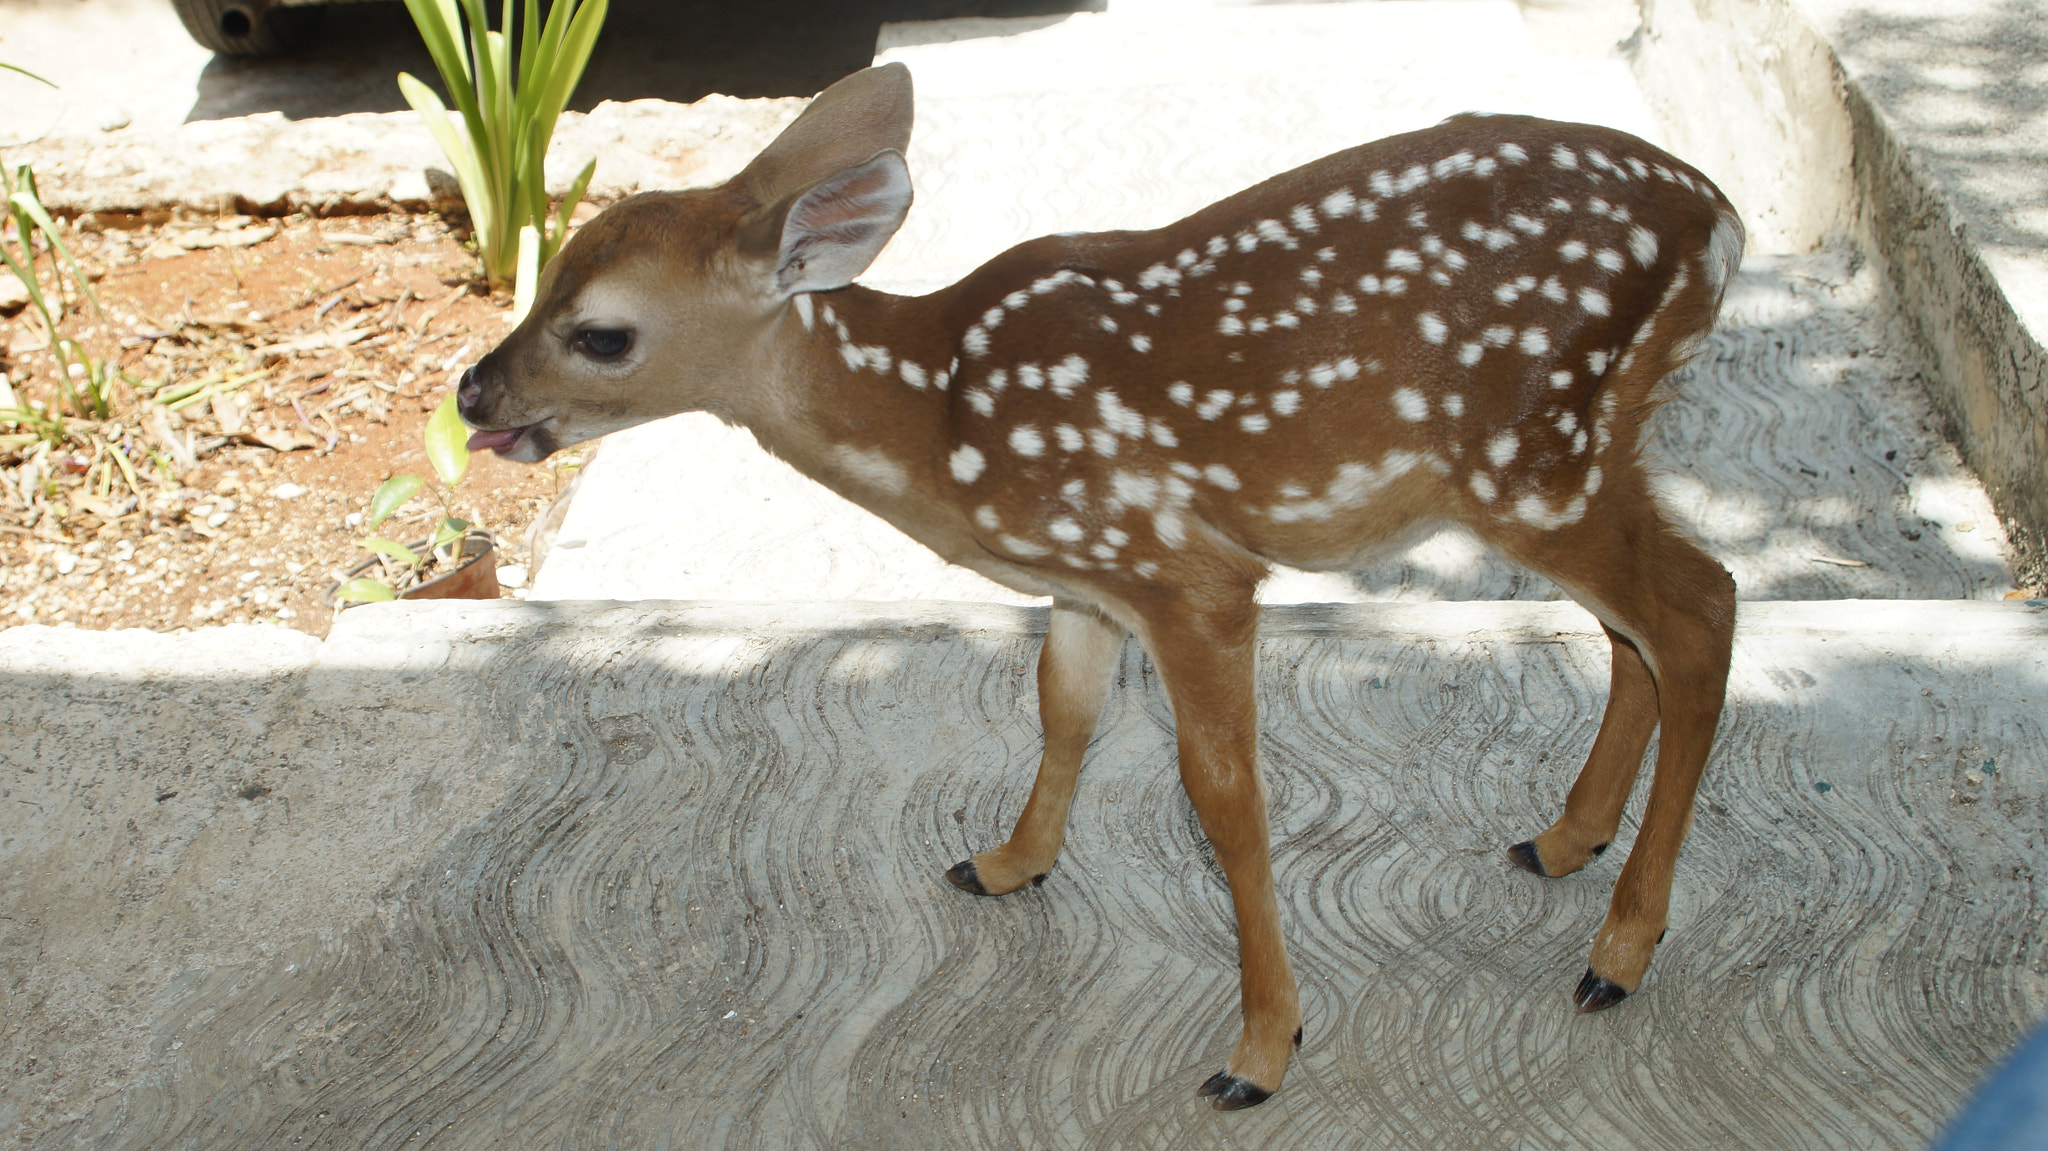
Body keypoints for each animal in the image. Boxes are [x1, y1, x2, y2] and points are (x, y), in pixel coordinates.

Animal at [460, 65, 1744, 1114]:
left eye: (602, 333)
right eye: (548, 273)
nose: (473, 393)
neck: (940, 419)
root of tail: (1719, 215)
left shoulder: (1184, 569)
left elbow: (1221, 795)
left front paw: (1259, 1049)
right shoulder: (1083, 579)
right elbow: (1060, 707)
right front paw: (1003, 862)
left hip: (1531, 455)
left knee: (1699, 608)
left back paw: (1616, 953)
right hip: (1579, 451)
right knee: (1637, 626)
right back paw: (1561, 840)